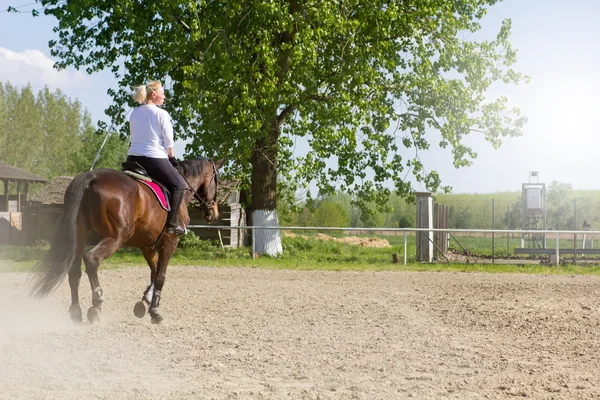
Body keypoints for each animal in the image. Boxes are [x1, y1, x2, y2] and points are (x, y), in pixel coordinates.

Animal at [29, 158, 225, 324]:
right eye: (218, 182)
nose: (214, 213)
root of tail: (92, 177)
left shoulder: (148, 246)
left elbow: (154, 272)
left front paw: (144, 302)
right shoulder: (169, 243)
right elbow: (160, 276)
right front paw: (155, 311)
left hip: (80, 234)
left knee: (74, 270)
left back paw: (76, 312)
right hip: (117, 236)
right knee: (92, 260)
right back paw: (97, 304)